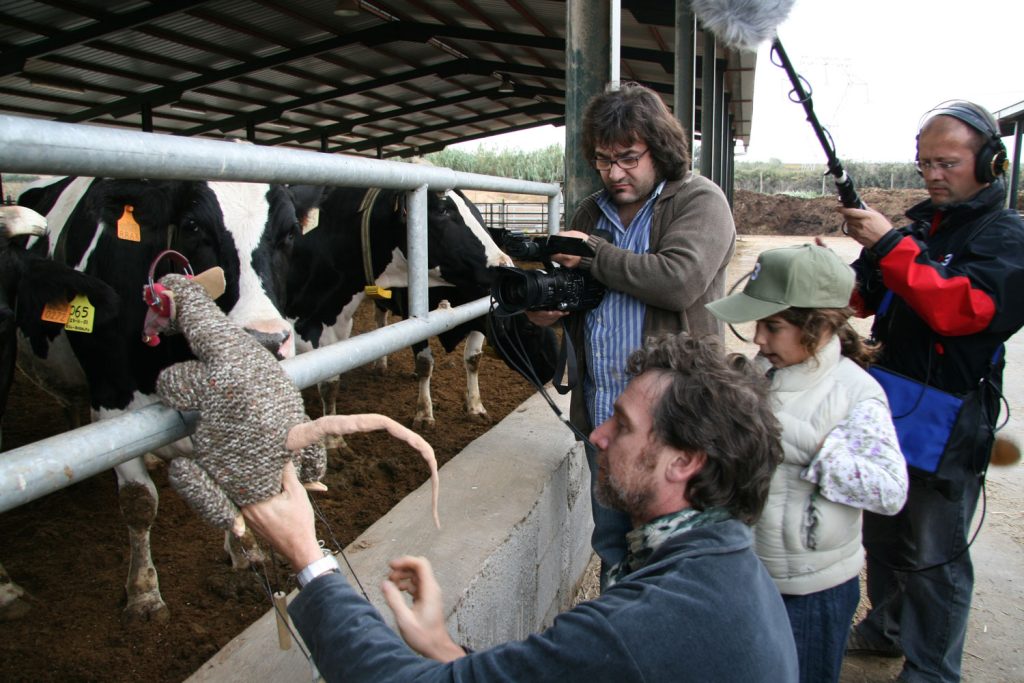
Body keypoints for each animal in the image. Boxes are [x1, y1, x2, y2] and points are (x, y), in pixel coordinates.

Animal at [16, 178, 305, 626]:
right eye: (192, 227)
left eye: (290, 232)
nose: (267, 342)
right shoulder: (112, 403)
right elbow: (139, 503)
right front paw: (144, 594)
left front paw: (245, 552)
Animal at [286, 187, 509, 444]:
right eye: (443, 210)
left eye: (477, 213)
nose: (505, 265)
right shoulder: (414, 318)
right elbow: (425, 363)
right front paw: (424, 414)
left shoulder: (476, 316)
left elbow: (473, 359)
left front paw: (475, 407)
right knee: (380, 321)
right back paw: (381, 365)